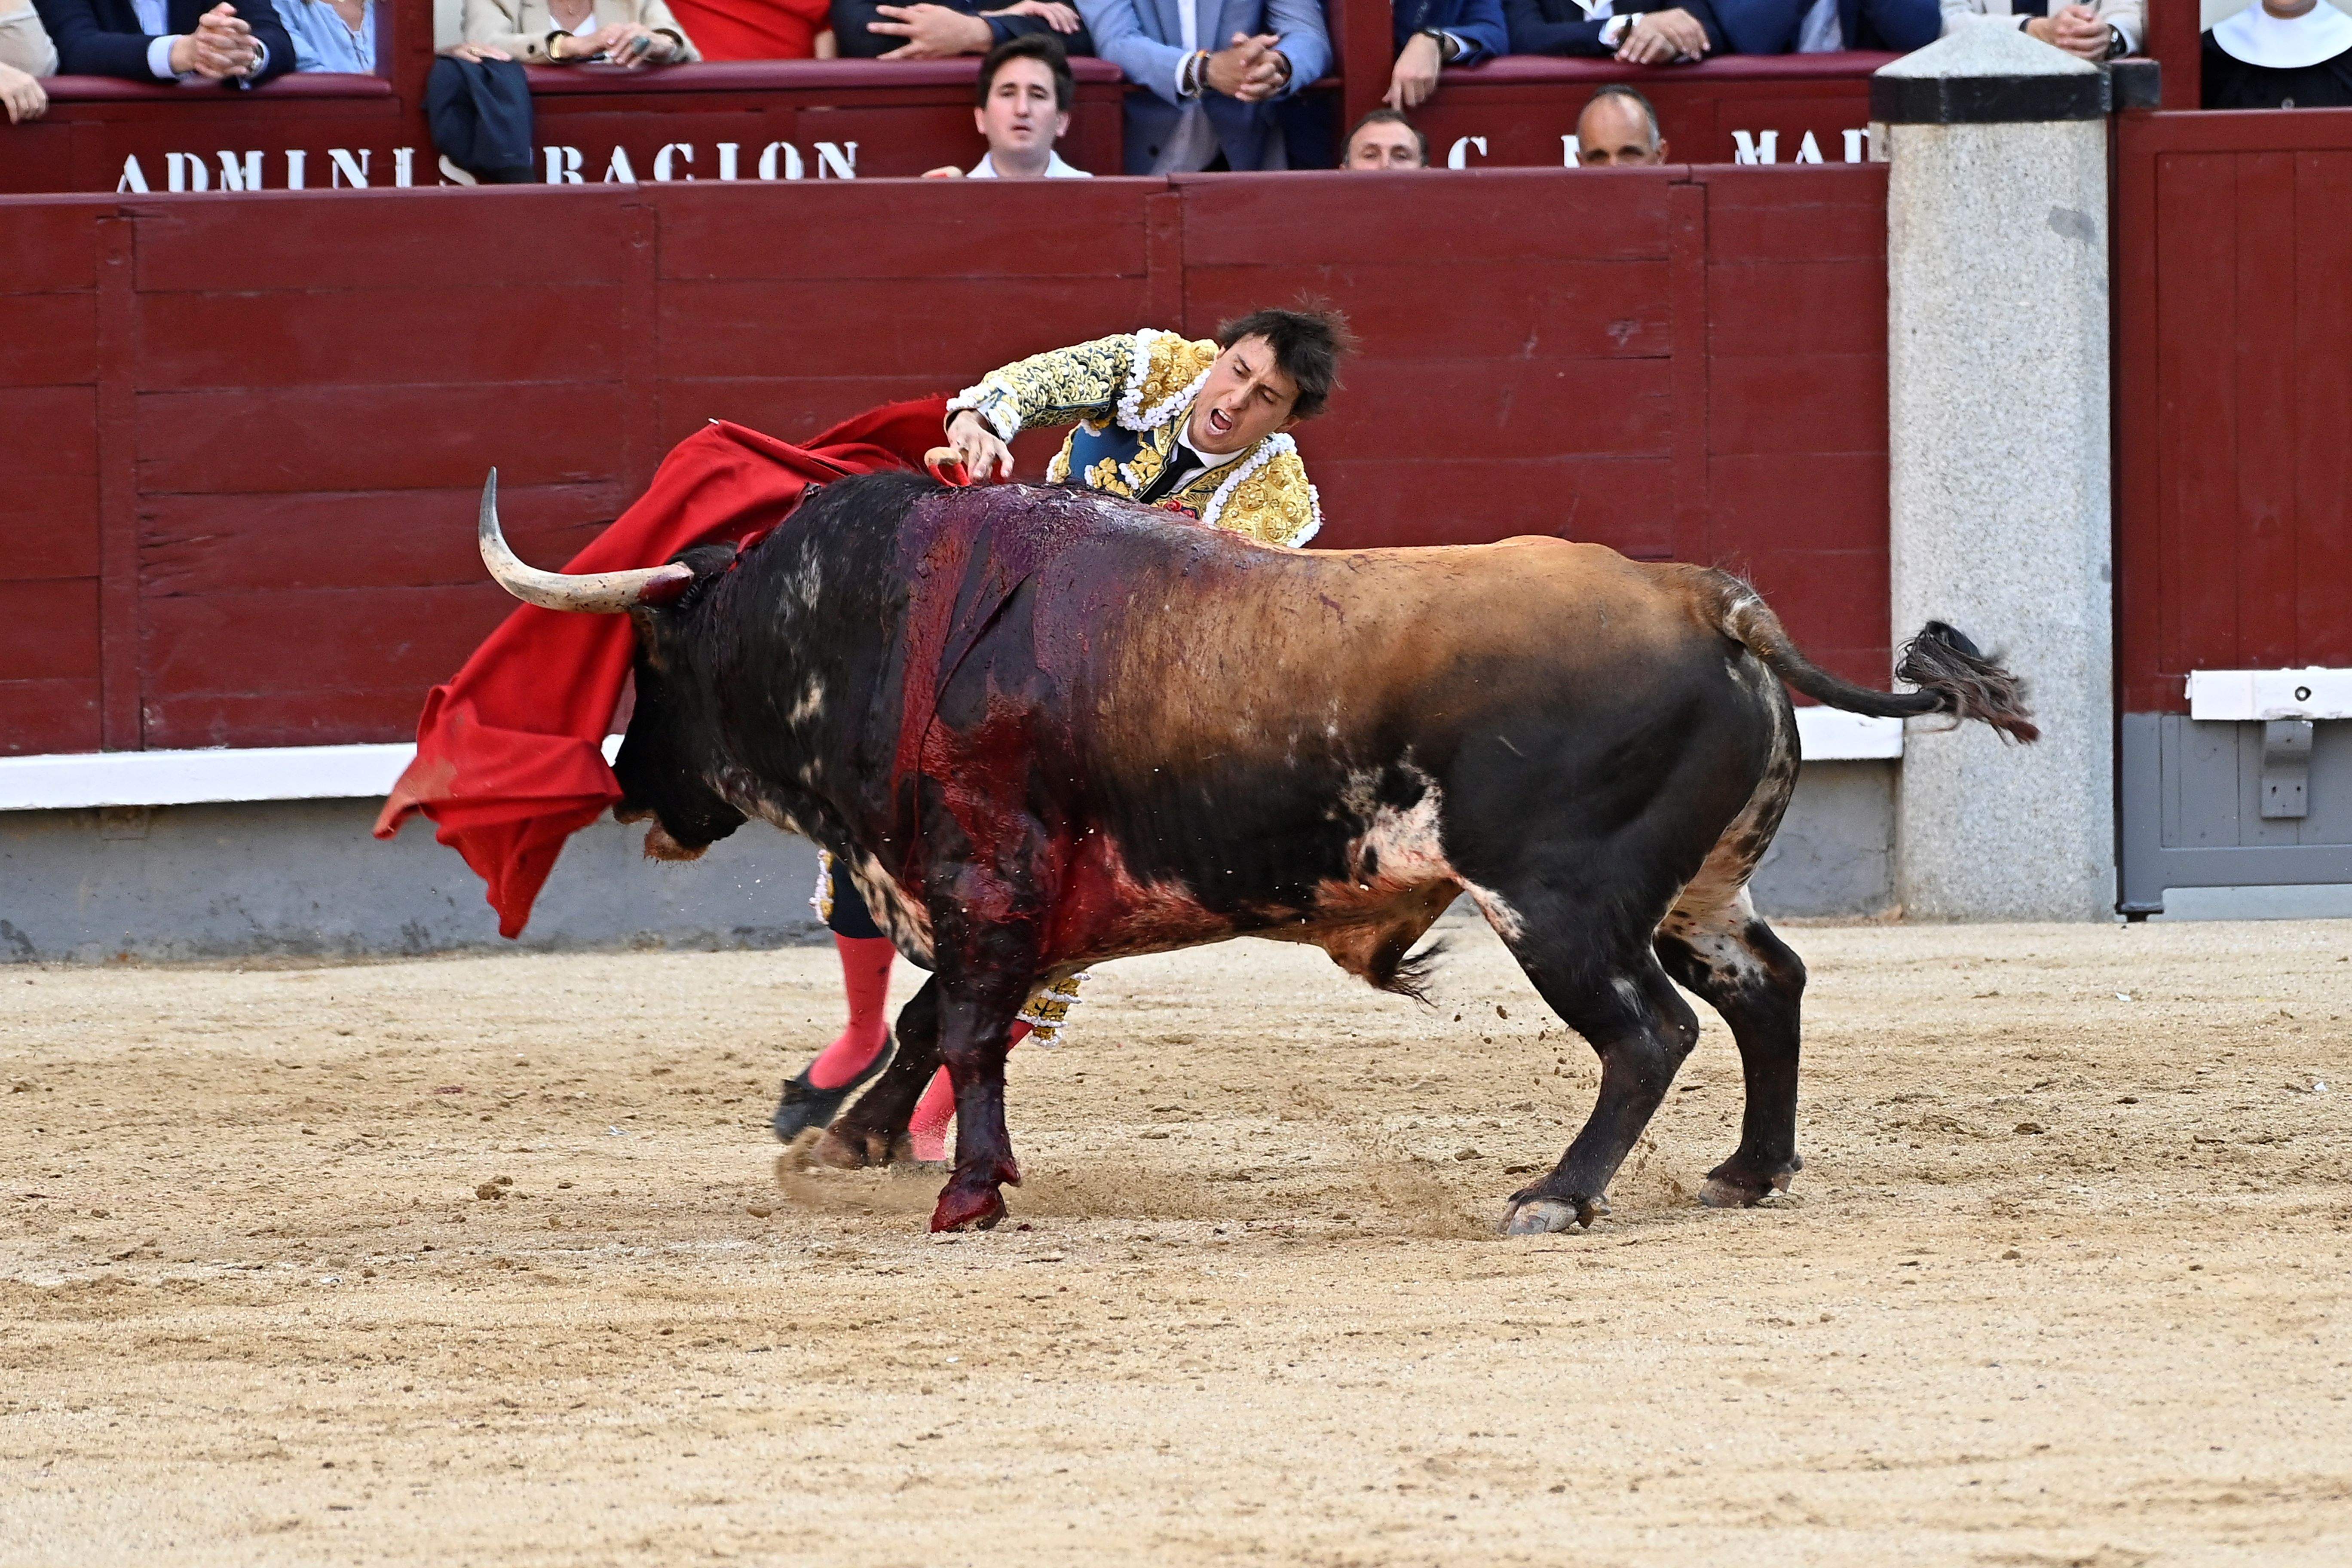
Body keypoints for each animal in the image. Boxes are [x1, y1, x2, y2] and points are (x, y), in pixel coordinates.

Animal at [468, 465, 2032, 1241]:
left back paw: (1553, 1195)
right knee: (1767, 986)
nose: (626, 785)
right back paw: (1746, 1173)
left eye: (648, 661)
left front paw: (967, 1192)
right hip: (1694, 888)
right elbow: (937, 1023)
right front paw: (853, 1141)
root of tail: (1715, 602)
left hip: (1562, 900)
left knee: (1649, 1032)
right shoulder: (990, 899)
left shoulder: (982, 874)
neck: (874, 616)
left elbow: (962, 1025)